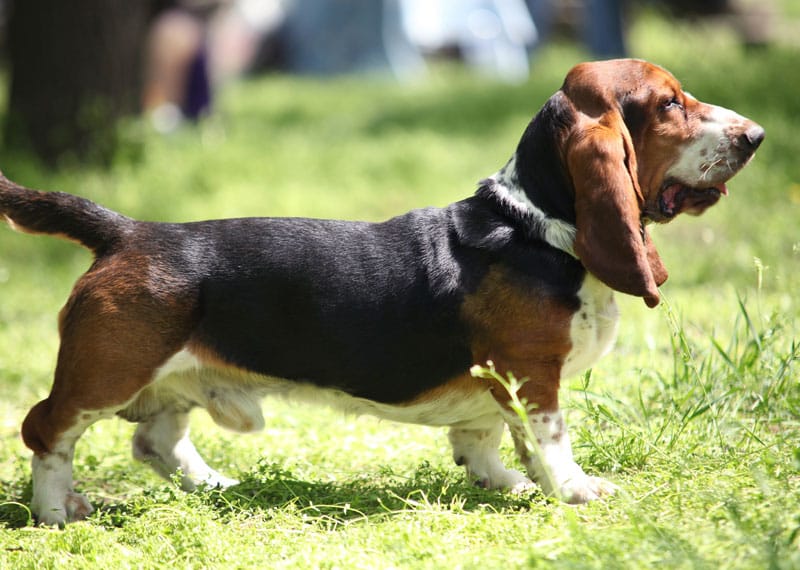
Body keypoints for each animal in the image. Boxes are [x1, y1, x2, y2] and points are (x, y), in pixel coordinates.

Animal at [0, 58, 764, 524]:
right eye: (668, 103)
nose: (756, 135)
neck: (538, 227)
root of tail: (127, 231)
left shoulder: (497, 388)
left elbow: (485, 437)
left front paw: (505, 482)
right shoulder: (531, 374)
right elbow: (551, 437)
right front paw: (574, 489)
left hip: (175, 377)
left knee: (155, 439)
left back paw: (218, 486)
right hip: (108, 371)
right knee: (45, 427)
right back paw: (56, 511)